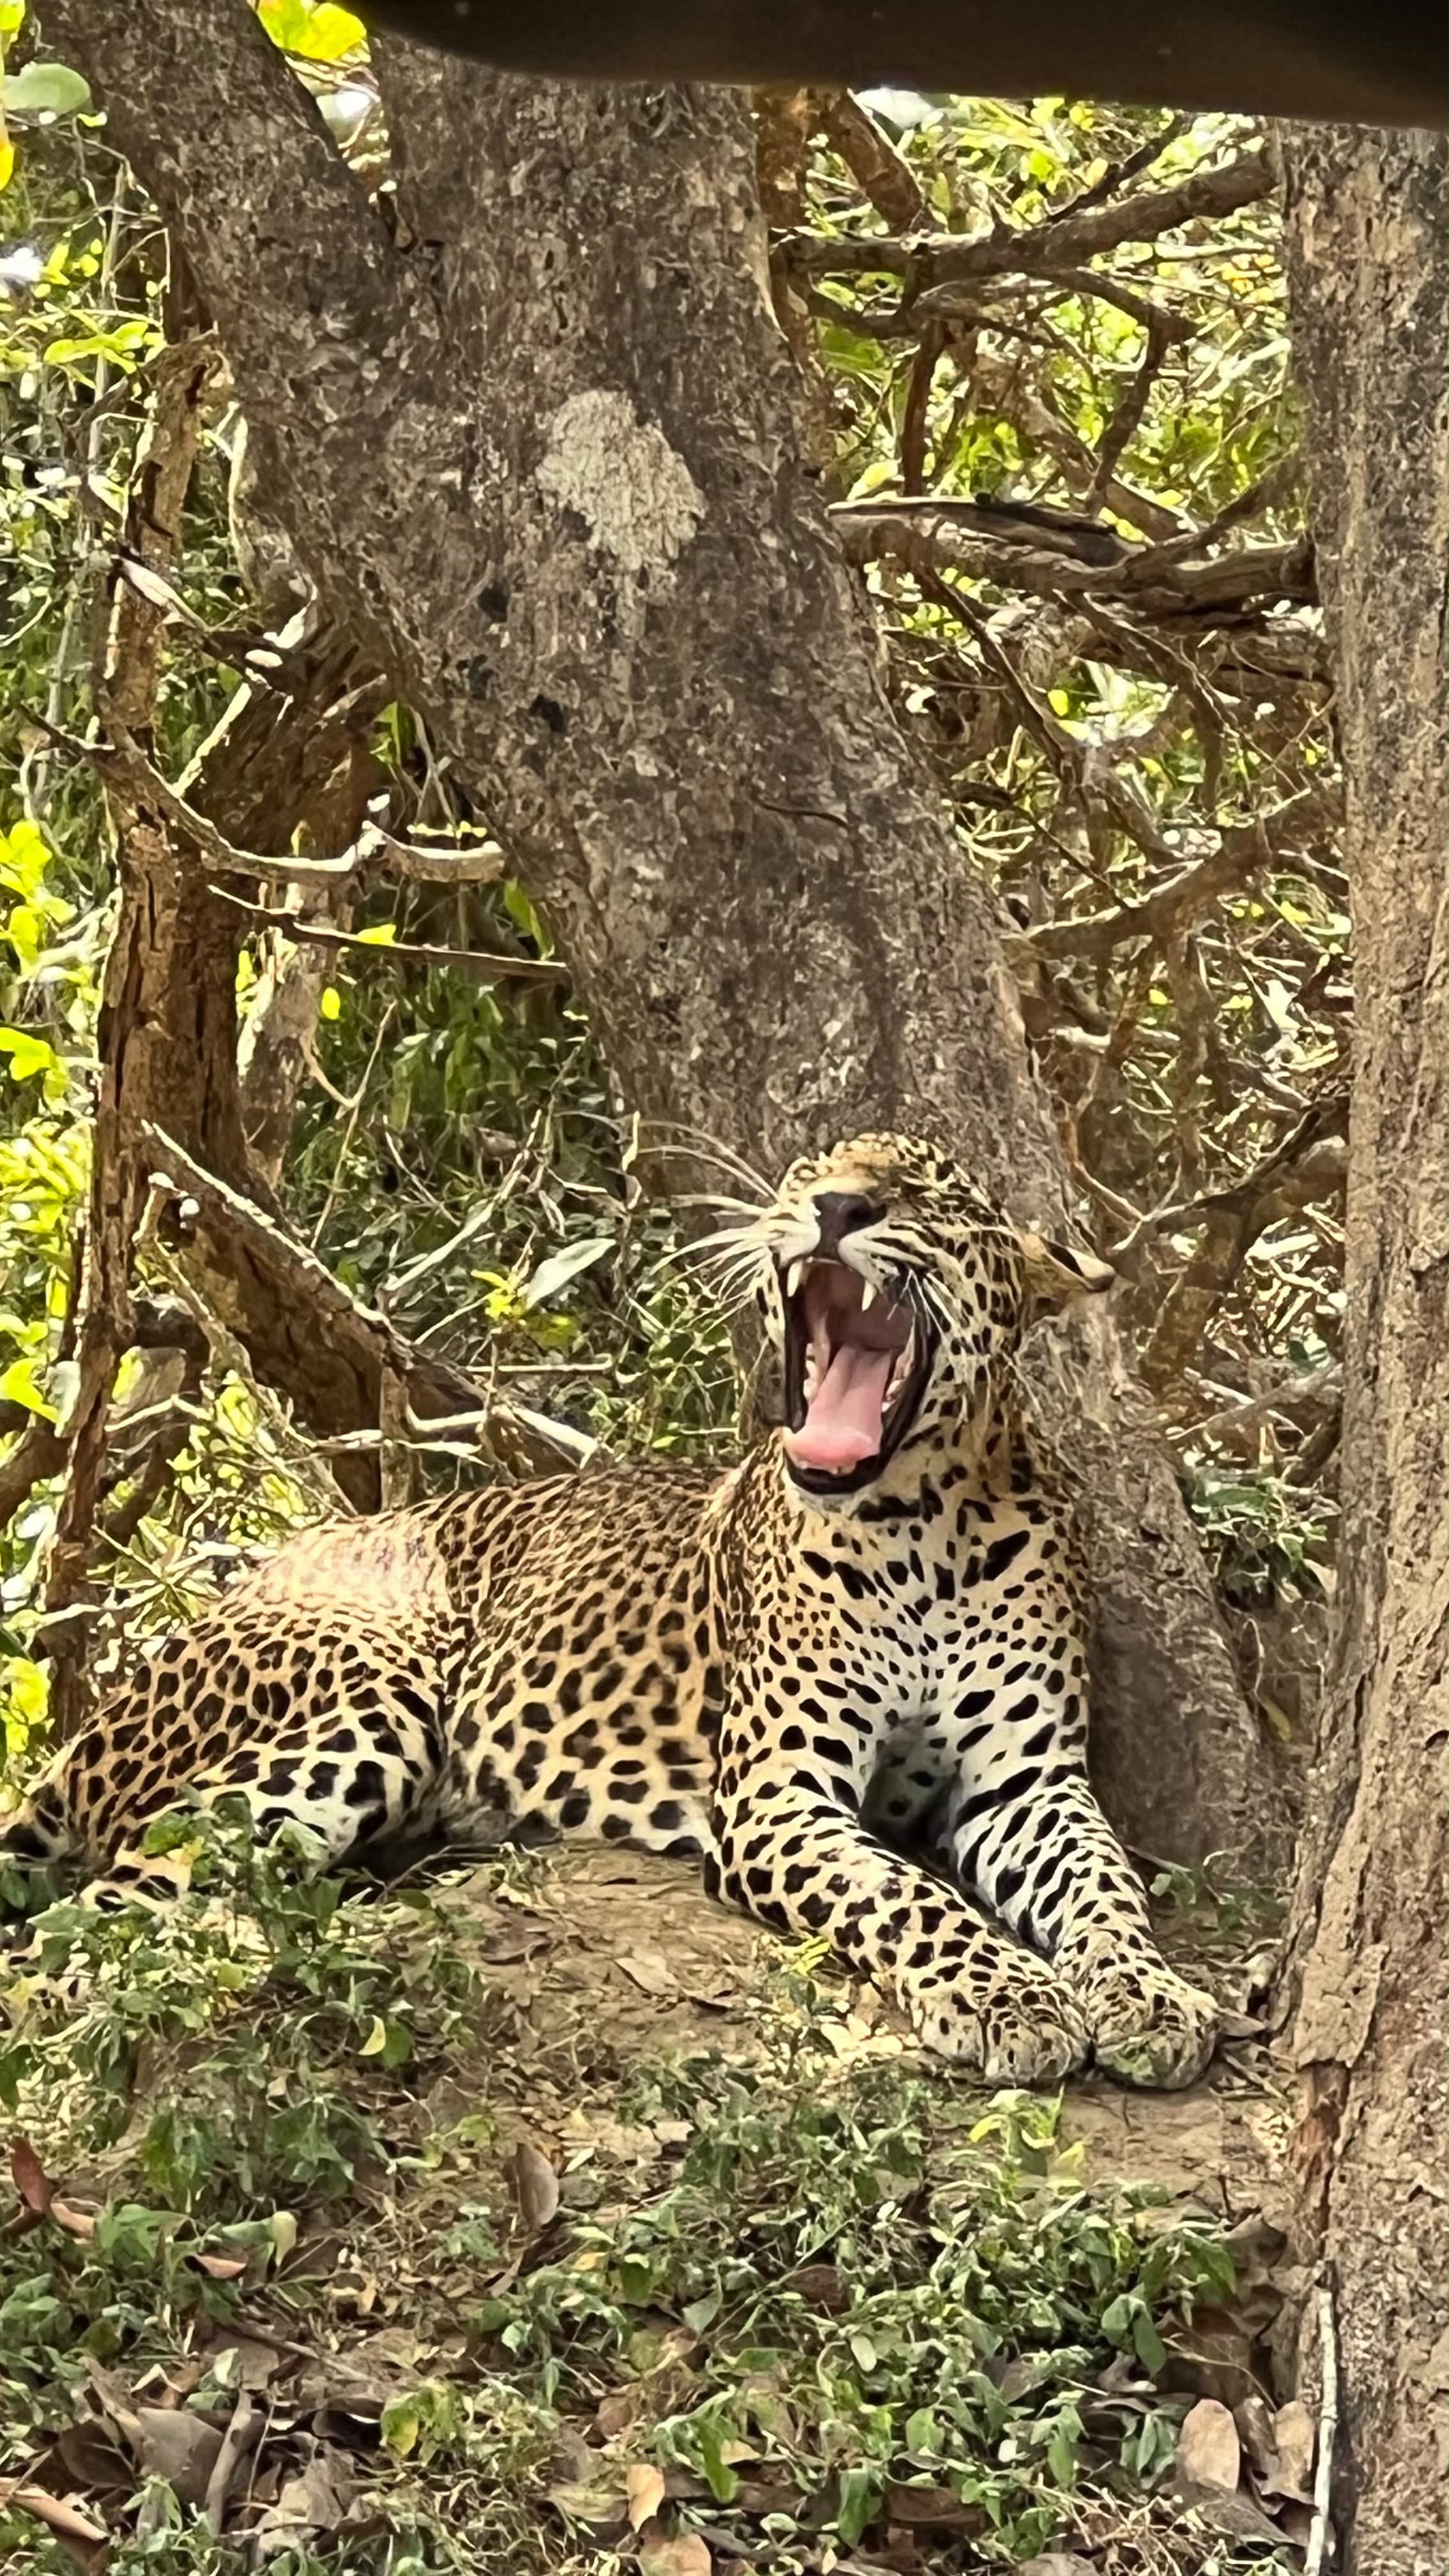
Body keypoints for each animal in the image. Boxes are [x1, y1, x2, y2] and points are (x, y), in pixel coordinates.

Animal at [0, 1131, 1219, 2089]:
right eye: (808, 1170)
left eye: (925, 1192)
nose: (837, 1208)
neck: (919, 1521)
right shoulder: (777, 1796)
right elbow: (909, 1894)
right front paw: (1012, 1997)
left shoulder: (1028, 1784)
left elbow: (1106, 1888)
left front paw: (1150, 1997)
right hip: (363, 1703)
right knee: (96, 1917)